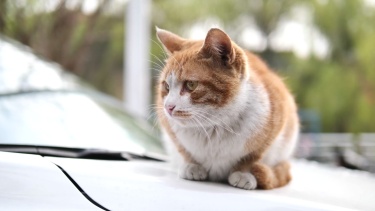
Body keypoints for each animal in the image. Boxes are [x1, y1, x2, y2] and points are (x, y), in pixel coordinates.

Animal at [155, 26, 300, 190]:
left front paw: (242, 173)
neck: (213, 126)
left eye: (191, 85)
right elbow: (183, 149)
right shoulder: (169, 130)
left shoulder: (275, 121)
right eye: (166, 86)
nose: (168, 107)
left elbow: (252, 156)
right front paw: (192, 165)